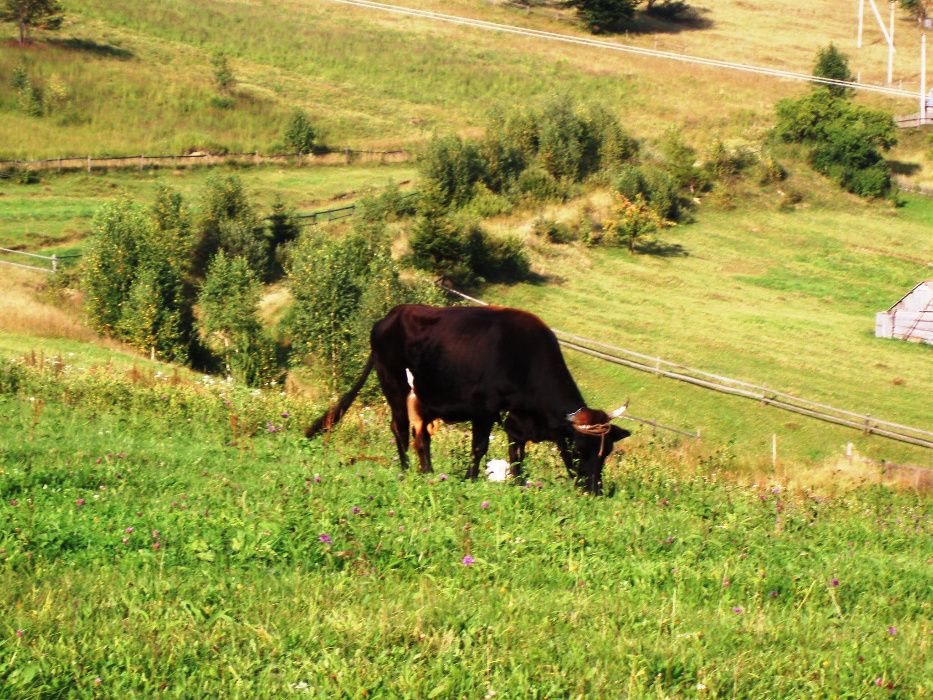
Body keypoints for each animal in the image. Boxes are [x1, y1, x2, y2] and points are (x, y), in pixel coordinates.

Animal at [308, 304, 632, 492]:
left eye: (606, 453)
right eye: (578, 450)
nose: (593, 490)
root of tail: (387, 318)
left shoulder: (516, 419)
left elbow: (517, 454)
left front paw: (517, 484)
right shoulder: (484, 409)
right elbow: (479, 447)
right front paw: (471, 478)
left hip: (423, 397)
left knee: (421, 435)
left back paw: (427, 470)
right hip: (394, 385)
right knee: (399, 428)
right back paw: (407, 468)